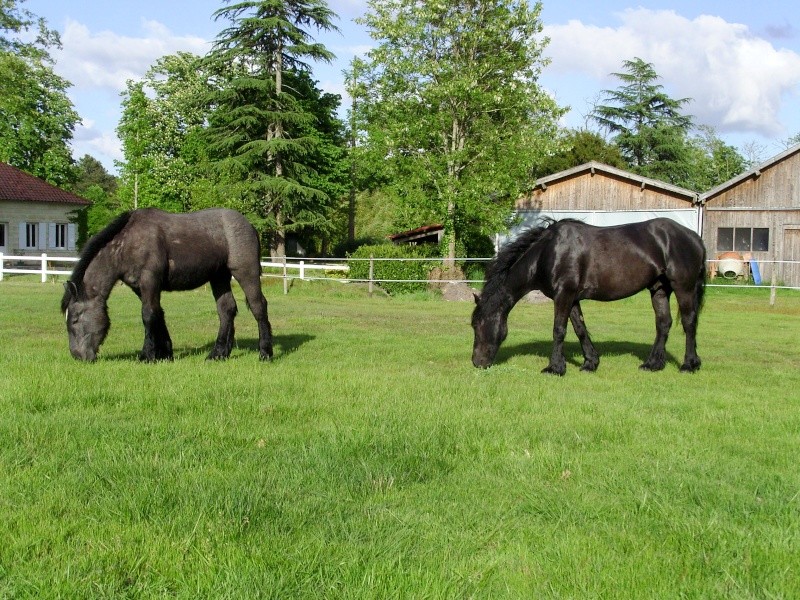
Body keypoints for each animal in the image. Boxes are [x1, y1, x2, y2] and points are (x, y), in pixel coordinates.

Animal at [61, 209, 274, 364]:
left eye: (75, 320)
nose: (78, 356)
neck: (127, 244)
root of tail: (249, 225)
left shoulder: (150, 281)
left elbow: (148, 315)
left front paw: (147, 355)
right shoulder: (140, 288)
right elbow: (158, 314)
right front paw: (165, 353)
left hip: (246, 273)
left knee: (258, 307)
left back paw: (265, 353)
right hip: (219, 277)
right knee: (226, 310)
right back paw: (219, 353)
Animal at [472, 216, 708, 376]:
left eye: (477, 325)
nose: (477, 362)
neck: (547, 253)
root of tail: (694, 237)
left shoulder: (564, 295)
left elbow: (559, 330)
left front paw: (555, 368)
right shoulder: (572, 298)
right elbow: (580, 329)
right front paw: (590, 363)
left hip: (684, 288)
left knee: (689, 323)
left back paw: (689, 364)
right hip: (659, 289)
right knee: (663, 324)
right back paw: (653, 364)